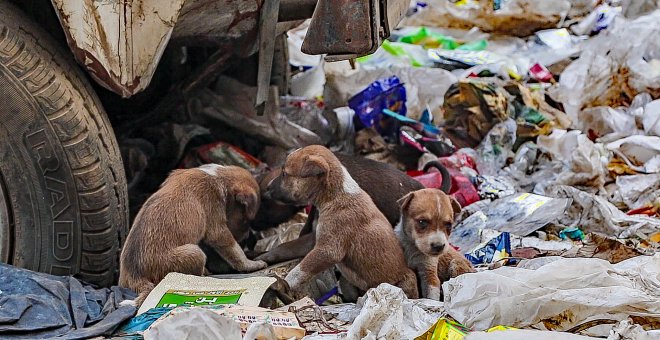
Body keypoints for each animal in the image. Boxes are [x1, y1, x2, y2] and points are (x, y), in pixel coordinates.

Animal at [118, 163, 266, 304]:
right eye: (246, 219)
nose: (246, 238)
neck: (218, 175)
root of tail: (136, 276)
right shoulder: (216, 221)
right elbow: (234, 250)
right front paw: (251, 264)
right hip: (194, 253)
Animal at [266, 145, 418, 298]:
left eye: (284, 174)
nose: (267, 187)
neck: (336, 194)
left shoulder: (328, 250)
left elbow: (300, 270)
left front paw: (285, 283)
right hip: (348, 283)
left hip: (406, 280)